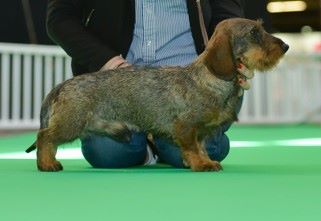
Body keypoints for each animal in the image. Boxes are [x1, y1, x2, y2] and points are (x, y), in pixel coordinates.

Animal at [26, 18, 288, 172]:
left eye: (261, 29)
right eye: (254, 32)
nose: (285, 46)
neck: (208, 79)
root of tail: (63, 85)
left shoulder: (202, 132)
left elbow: (202, 148)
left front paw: (206, 161)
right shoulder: (186, 128)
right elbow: (192, 149)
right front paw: (200, 165)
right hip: (71, 123)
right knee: (44, 137)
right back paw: (47, 163)